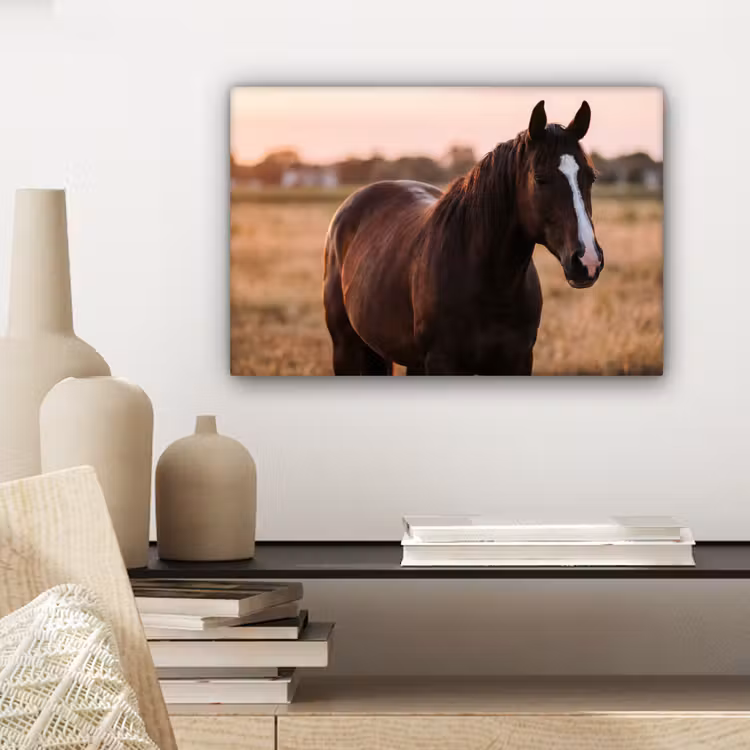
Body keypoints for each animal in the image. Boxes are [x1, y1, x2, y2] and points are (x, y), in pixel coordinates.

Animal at [323, 100, 604, 376]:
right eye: (540, 178)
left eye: (591, 177)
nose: (587, 261)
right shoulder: (442, 363)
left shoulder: (517, 362)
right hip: (346, 349)